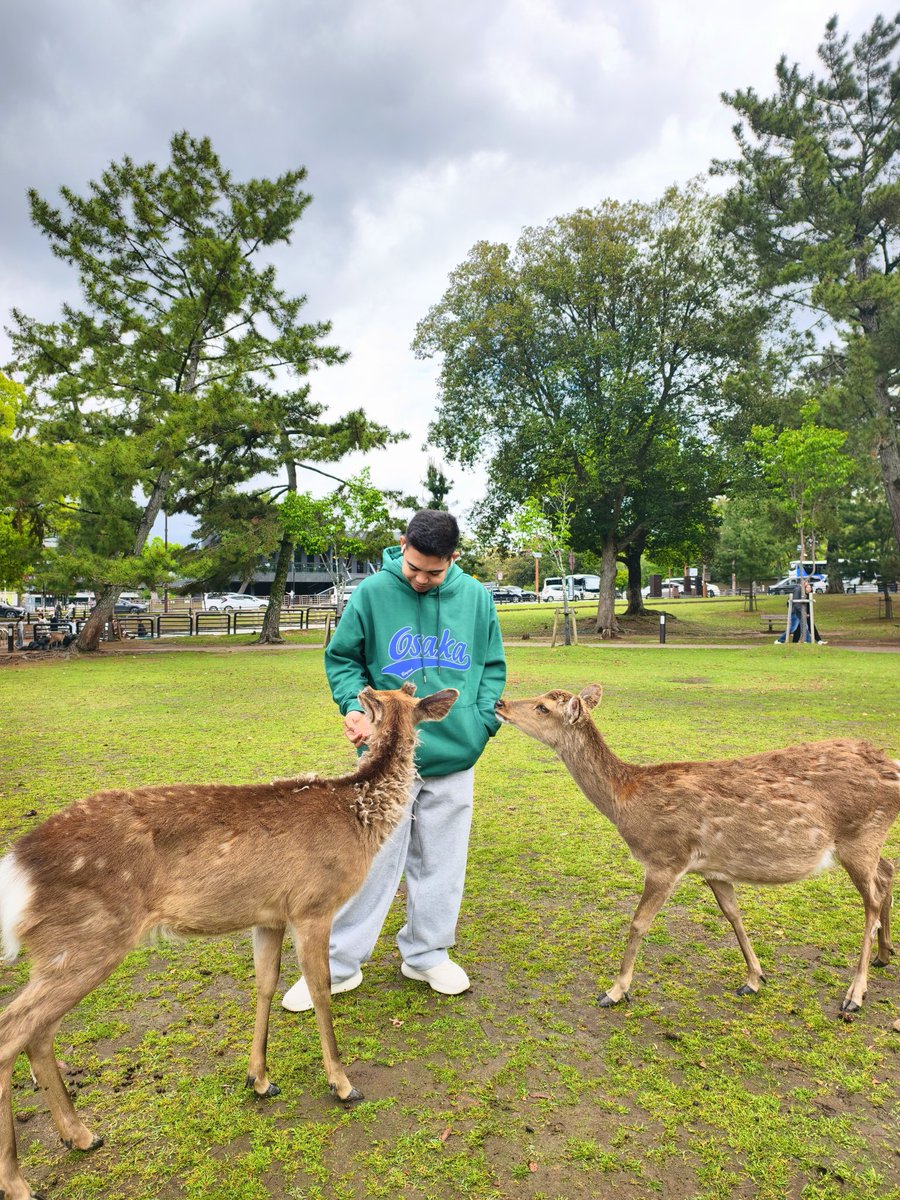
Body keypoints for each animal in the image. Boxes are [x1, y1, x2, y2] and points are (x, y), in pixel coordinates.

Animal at [0, 681, 457, 1200]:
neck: (355, 817)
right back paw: (18, 1181)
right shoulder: (312, 905)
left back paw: (80, 1135)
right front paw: (343, 1084)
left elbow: (265, 983)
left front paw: (259, 1078)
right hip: (87, 938)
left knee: (39, 1033)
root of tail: (18, 870)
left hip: (64, 949)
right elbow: (320, 990)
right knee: (13, 1030)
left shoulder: (269, 914)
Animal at [495, 685, 900, 1017]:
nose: (500, 703)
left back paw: (855, 994)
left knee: (872, 900)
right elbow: (733, 914)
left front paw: (614, 991)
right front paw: (754, 978)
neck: (625, 802)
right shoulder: (713, 868)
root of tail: (892, 766)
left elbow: (638, 923)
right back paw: (885, 955)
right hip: (868, 842)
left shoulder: (666, 858)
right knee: (887, 870)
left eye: (543, 707)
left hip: (860, 837)